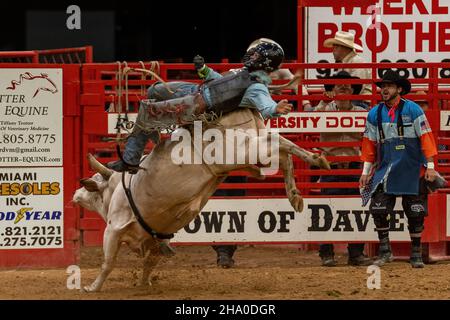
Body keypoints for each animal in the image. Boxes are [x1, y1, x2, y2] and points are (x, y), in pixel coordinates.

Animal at [73, 107, 326, 292]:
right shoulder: (156, 239)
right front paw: (144, 284)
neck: (116, 187)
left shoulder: (113, 229)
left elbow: (108, 262)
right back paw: (296, 194)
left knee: (277, 142)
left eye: (93, 185)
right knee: (282, 156)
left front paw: (92, 287)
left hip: (242, 150)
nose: (76, 194)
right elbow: (149, 262)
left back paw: (316, 159)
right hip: (251, 152)